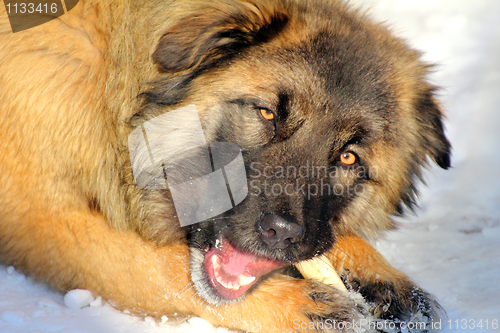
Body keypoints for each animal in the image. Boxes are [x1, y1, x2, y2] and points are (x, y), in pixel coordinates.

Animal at [0, 0, 452, 330]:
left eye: (348, 157)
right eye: (267, 114)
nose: (280, 232)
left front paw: (379, 275)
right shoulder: (38, 219)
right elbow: (158, 268)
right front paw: (295, 306)